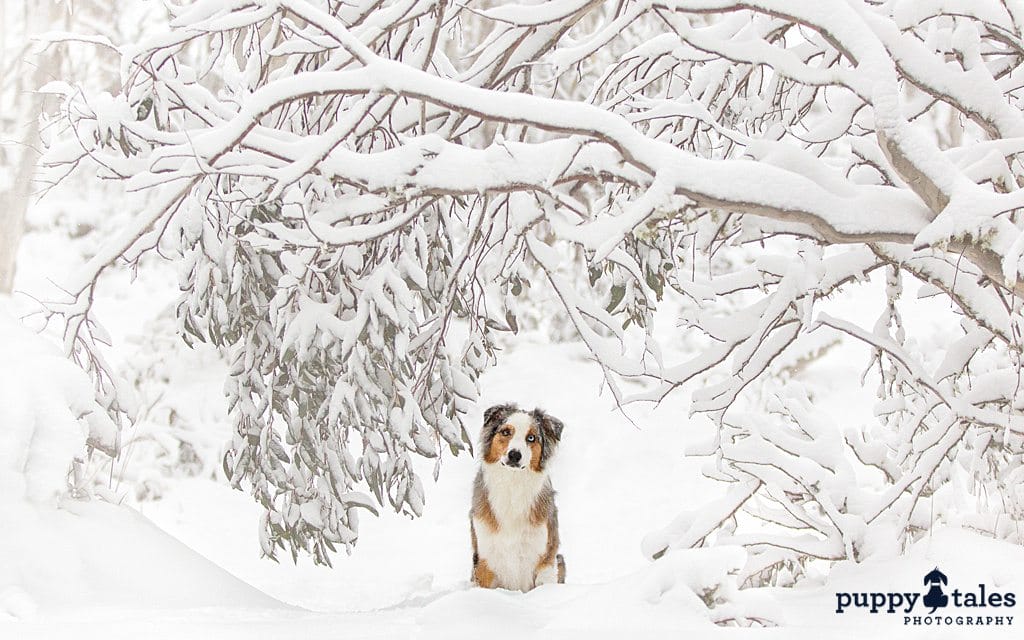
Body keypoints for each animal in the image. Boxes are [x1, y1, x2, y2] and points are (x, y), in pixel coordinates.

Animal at [468, 401, 565, 589]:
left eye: (531, 438)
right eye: (506, 432)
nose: (514, 455)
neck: (513, 485)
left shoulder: (546, 556)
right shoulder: (484, 558)